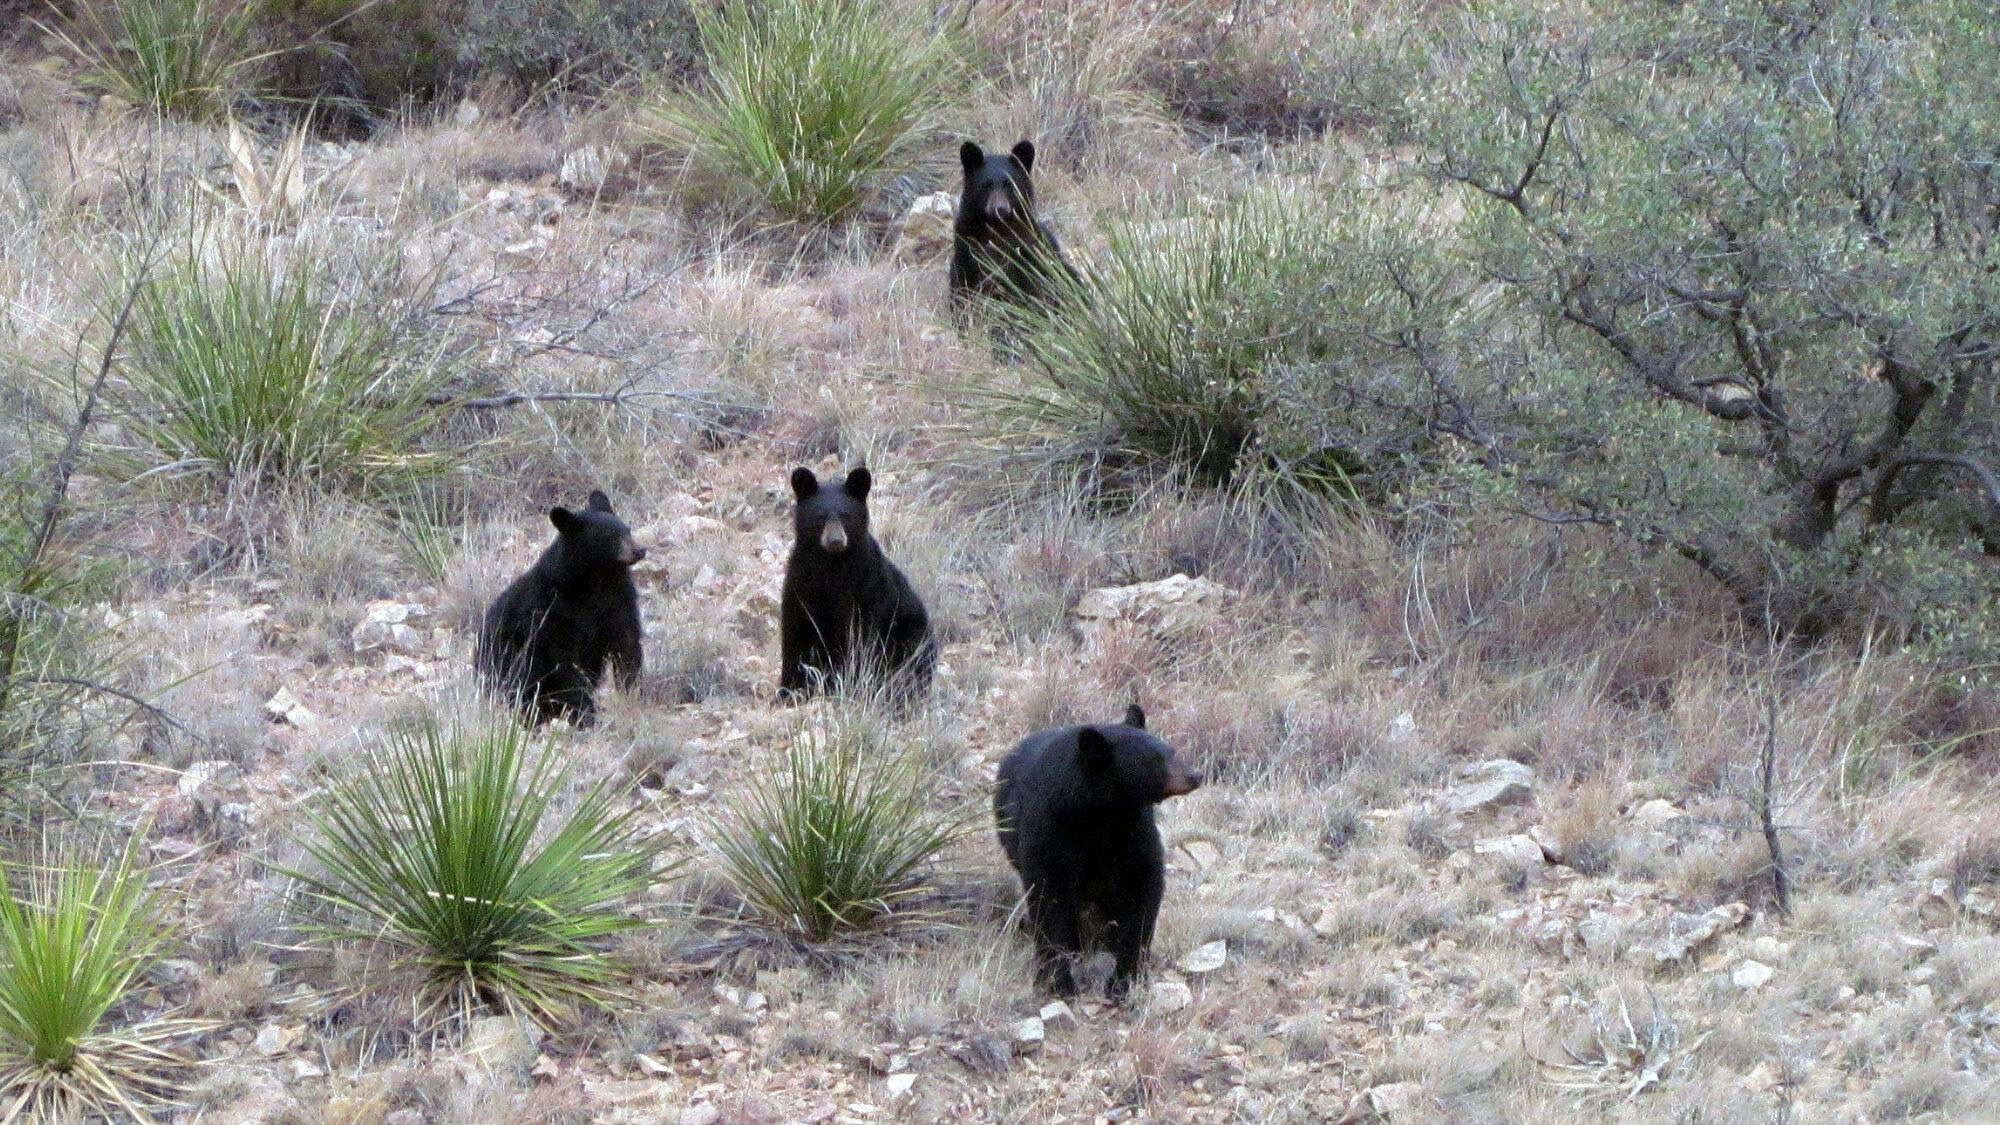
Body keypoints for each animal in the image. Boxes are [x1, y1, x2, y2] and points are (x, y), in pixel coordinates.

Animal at [476, 490, 645, 729]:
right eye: (609, 536)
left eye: (627, 530)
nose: (640, 550)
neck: (598, 579)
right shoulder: (550, 612)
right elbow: (564, 663)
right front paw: (586, 713)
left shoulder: (620, 600)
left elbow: (627, 645)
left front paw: (632, 696)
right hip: (506, 655)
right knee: (521, 679)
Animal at [779, 465, 936, 700]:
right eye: (820, 516)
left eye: (846, 515)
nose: (835, 541)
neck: (830, 564)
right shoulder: (800, 583)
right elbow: (794, 635)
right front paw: (787, 691)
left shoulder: (865, 586)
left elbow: (858, 640)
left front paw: (844, 683)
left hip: (911, 632)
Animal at [948, 139, 1081, 327]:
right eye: (986, 185)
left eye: (1010, 184)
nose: (1000, 209)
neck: (997, 228)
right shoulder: (967, 248)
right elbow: (963, 288)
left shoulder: (1028, 251)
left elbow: (1029, 287)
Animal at [993, 704, 1204, 1000]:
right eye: (1154, 760)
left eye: (1171, 750)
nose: (1196, 775)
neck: (1101, 812)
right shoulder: (1051, 830)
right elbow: (1049, 900)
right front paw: (1058, 981)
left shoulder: (1135, 830)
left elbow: (1142, 891)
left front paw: (1124, 981)